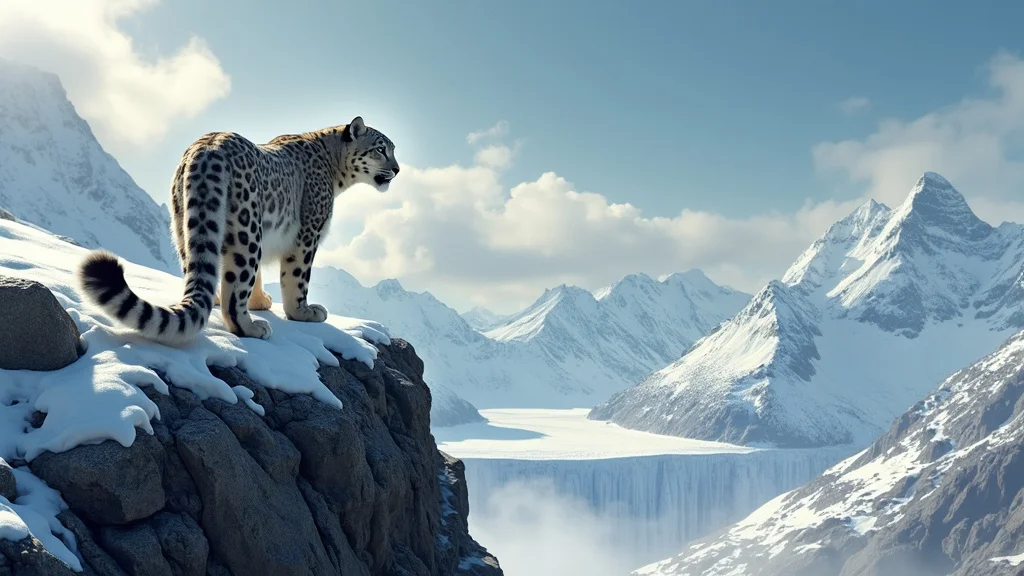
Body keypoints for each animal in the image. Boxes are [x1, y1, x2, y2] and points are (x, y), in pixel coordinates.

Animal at [76, 116, 398, 345]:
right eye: (381, 149)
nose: (396, 170)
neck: (334, 173)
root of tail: (207, 150)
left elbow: (259, 277)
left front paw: (261, 301)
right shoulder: (307, 235)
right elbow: (297, 278)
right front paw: (303, 312)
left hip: (183, 228)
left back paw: (221, 300)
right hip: (247, 231)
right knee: (236, 288)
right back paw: (251, 327)